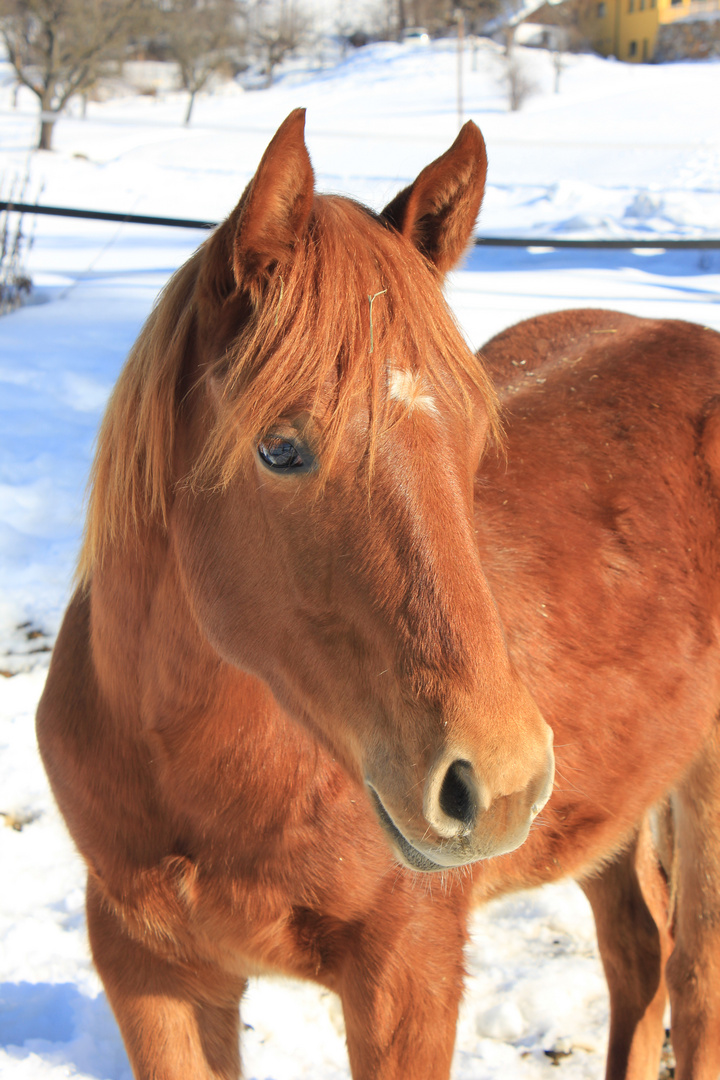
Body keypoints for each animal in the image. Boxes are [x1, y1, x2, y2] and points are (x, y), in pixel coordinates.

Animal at [38, 111, 720, 1080]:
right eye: (280, 448)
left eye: (475, 441)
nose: (499, 780)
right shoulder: (150, 973)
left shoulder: (408, 976)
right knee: (640, 952)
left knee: (693, 982)